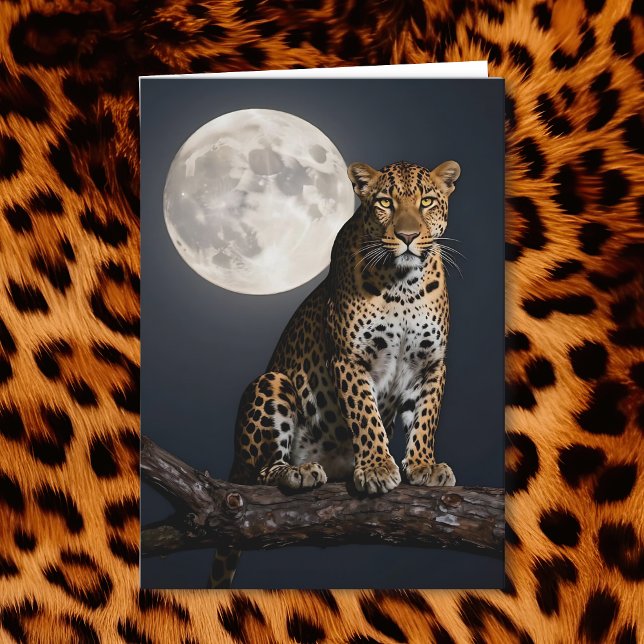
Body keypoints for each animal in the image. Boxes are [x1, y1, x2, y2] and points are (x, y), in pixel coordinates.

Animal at [0, 0, 641, 642]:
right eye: (384, 203)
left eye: (427, 202)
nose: (408, 235)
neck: (403, 285)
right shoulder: (350, 359)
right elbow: (366, 416)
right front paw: (379, 467)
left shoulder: (431, 363)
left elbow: (425, 419)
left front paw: (422, 466)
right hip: (269, 389)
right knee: (248, 480)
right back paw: (296, 473)